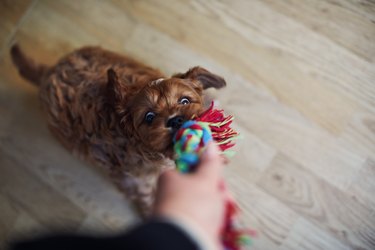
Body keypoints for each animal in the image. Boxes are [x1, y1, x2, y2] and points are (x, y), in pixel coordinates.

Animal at [10, 45, 226, 215]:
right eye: (149, 117)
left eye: (185, 101)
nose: (174, 120)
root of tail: (48, 72)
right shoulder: (135, 180)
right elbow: (147, 196)